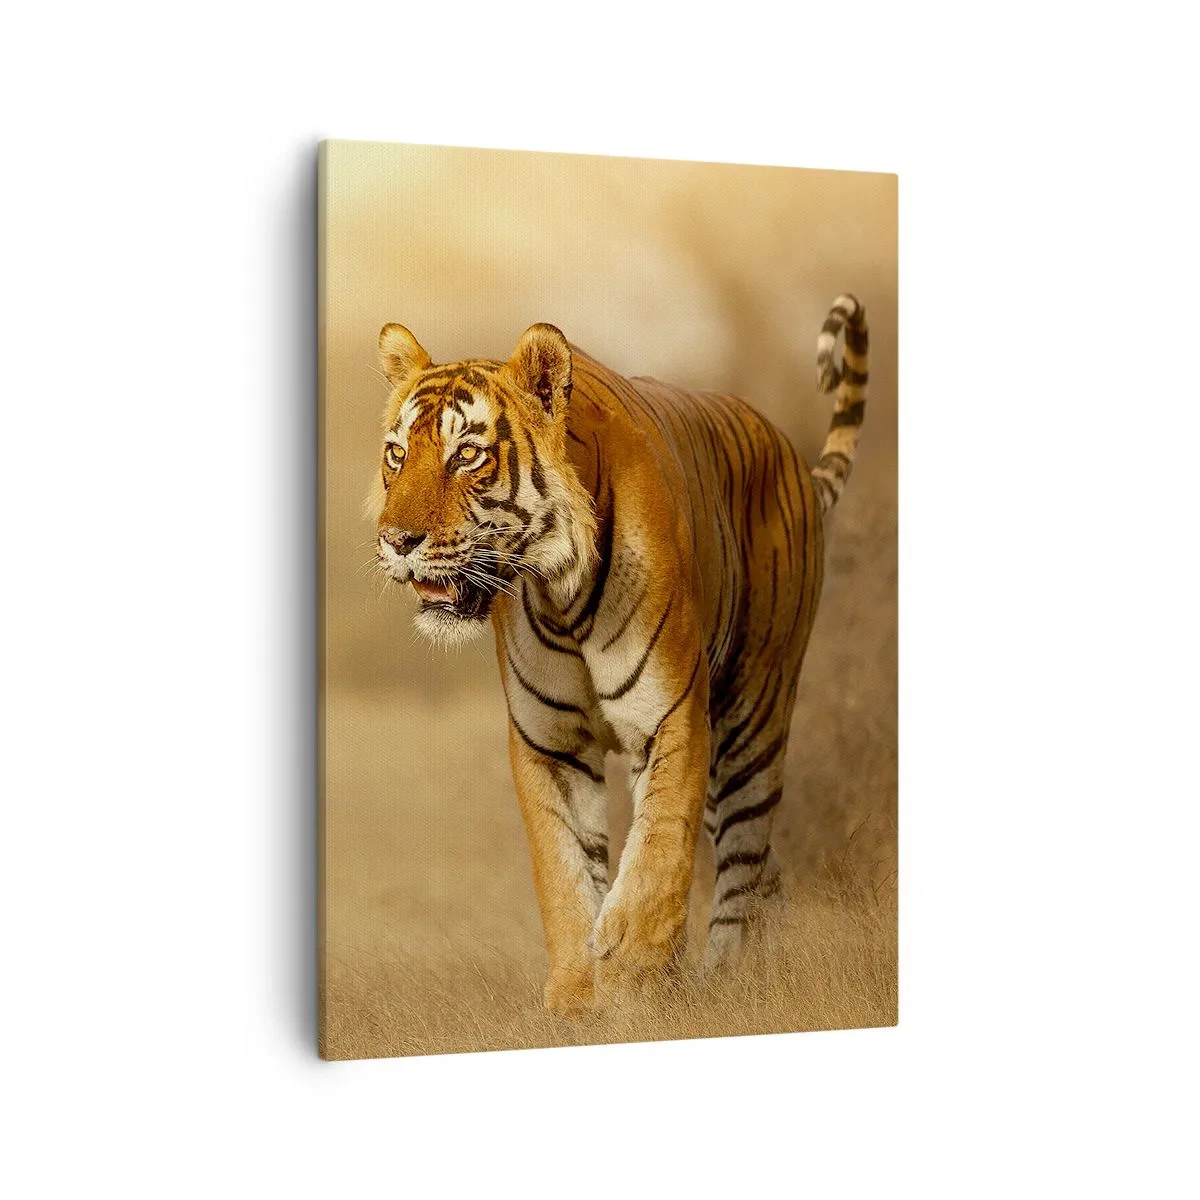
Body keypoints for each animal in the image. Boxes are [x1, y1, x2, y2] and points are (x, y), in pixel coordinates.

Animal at [371, 295, 868, 1017]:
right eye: (396, 454)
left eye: (467, 455)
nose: (396, 540)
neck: (559, 591)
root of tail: (792, 455)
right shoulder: (547, 742)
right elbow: (564, 870)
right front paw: (579, 998)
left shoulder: (671, 718)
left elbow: (656, 853)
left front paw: (633, 979)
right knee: (763, 869)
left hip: (752, 720)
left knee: (744, 863)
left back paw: (729, 981)